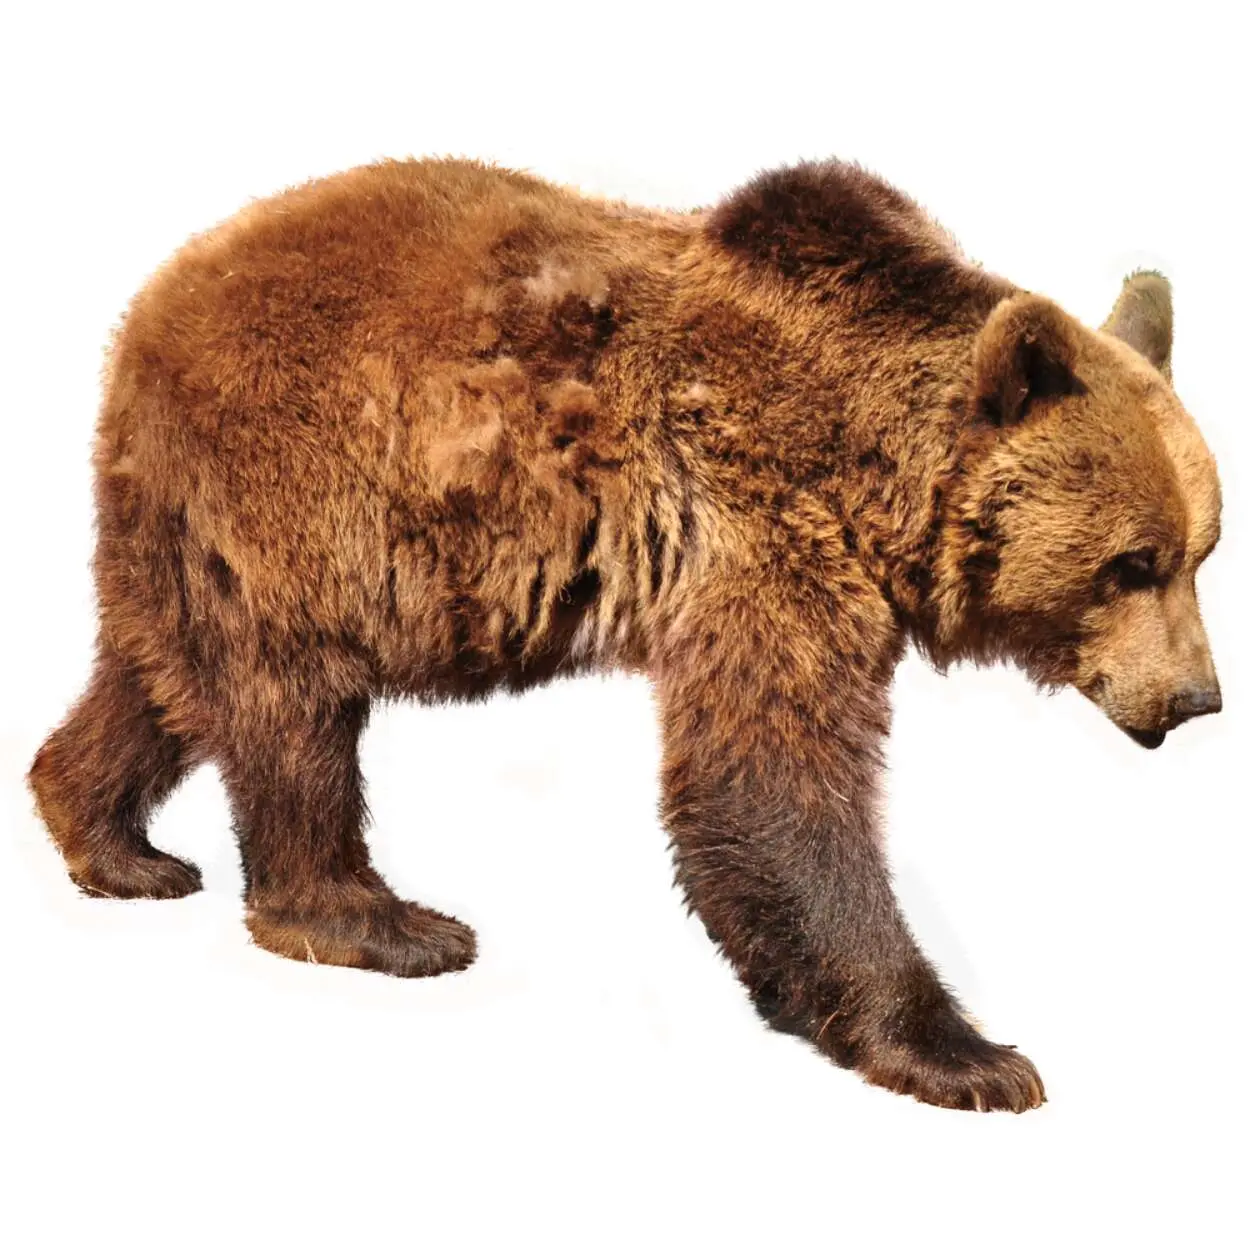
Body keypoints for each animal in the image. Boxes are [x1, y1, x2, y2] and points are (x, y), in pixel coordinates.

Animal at [28, 156, 1222, 1112]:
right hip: (301, 481)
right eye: (1132, 562)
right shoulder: (756, 524)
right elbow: (770, 777)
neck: (865, 460)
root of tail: (158, 295)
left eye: (1202, 550)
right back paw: (381, 922)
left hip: (187, 523)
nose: (1197, 696)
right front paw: (967, 1055)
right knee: (295, 708)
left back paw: (111, 840)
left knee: (163, 678)